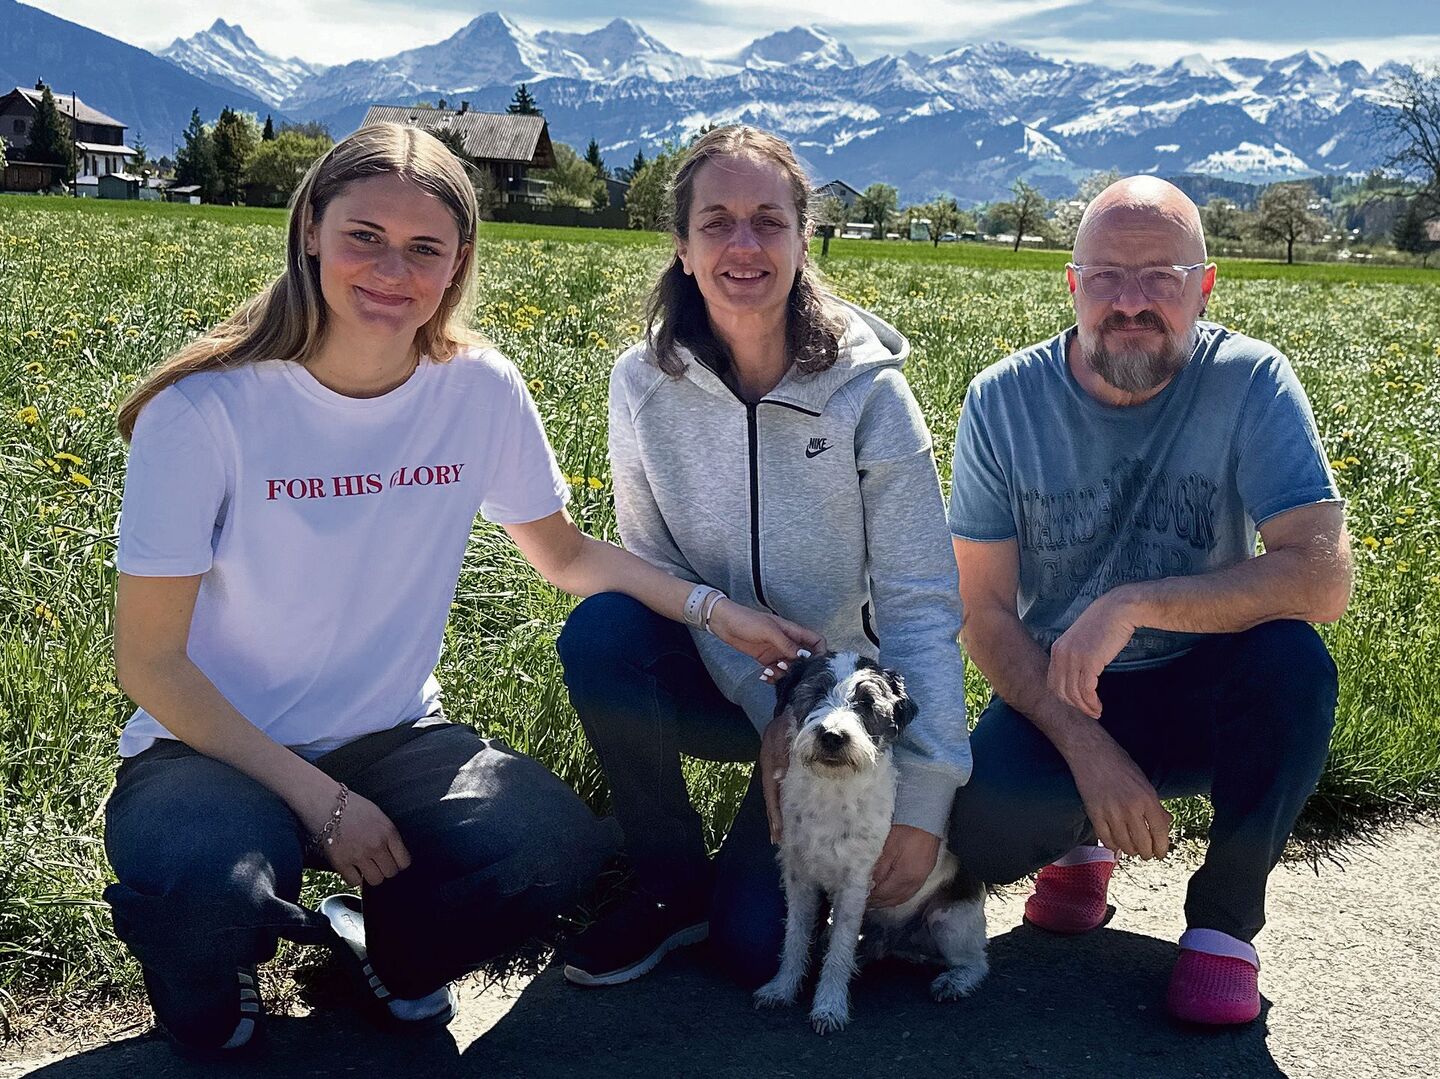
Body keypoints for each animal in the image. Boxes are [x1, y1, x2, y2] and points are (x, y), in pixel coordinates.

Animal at [753, 651, 988, 1033]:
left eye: (866, 703)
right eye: (816, 692)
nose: (833, 736)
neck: (832, 791)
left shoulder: (855, 884)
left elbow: (839, 949)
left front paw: (829, 1006)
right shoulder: (798, 878)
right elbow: (795, 938)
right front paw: (782, 987)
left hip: (948, 921)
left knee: (978, 962)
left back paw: (955, 980)